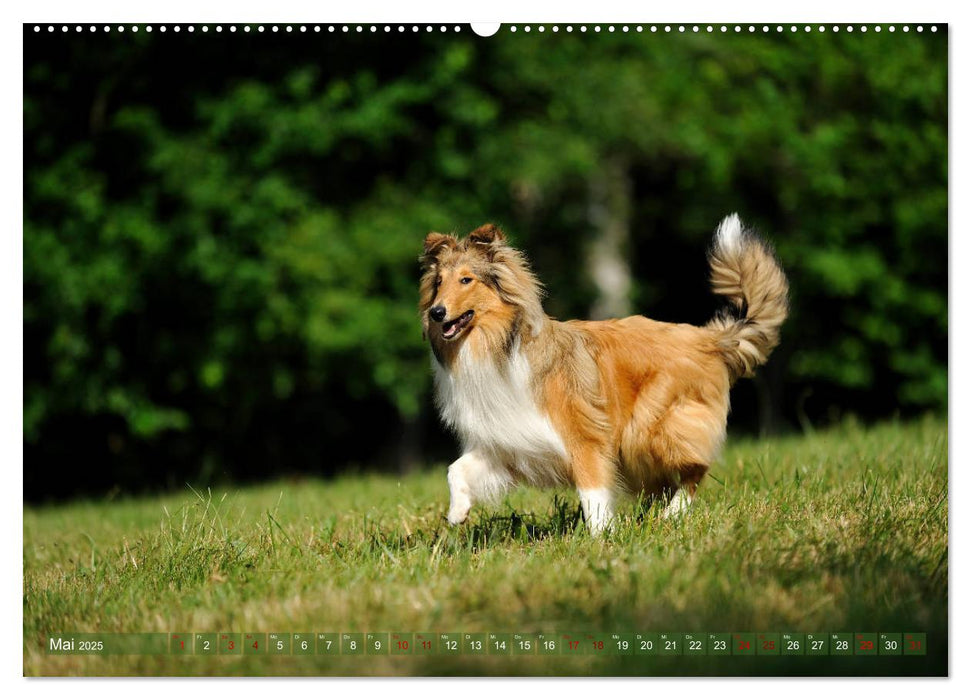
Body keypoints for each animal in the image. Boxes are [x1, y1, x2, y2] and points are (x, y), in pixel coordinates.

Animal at [418, 216, 788, 532]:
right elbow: (456, 469)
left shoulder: (584, 436)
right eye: (438, 283)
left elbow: (592, 492)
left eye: (467, 279)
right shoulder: (508, 443)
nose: (436, 313)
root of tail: (708, 338)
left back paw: (673, 514)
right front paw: (457, 512)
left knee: (695, 469)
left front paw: (600, 538)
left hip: (647, 428)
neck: (499, 349)